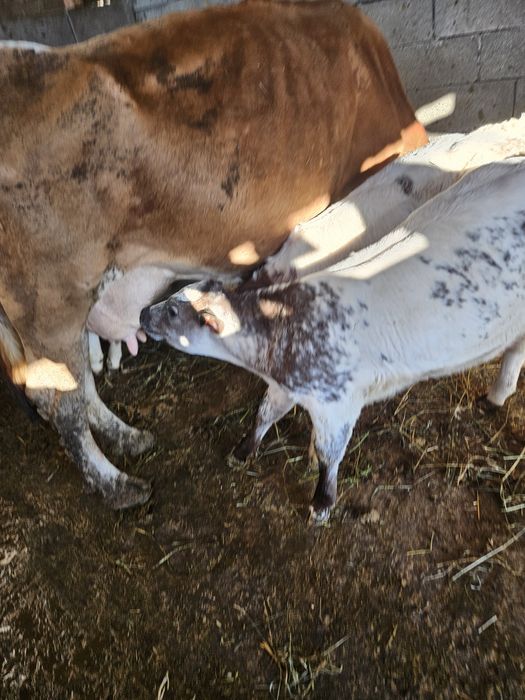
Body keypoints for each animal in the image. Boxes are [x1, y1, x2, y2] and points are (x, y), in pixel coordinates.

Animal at [140, 158, 525, 521]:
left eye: (173, 312)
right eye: (174, 296)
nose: (143, 314)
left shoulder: (338, 403)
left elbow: (330, 453)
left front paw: (322, 502)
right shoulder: (285, 385)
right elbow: (265, 414)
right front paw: (243, 451)